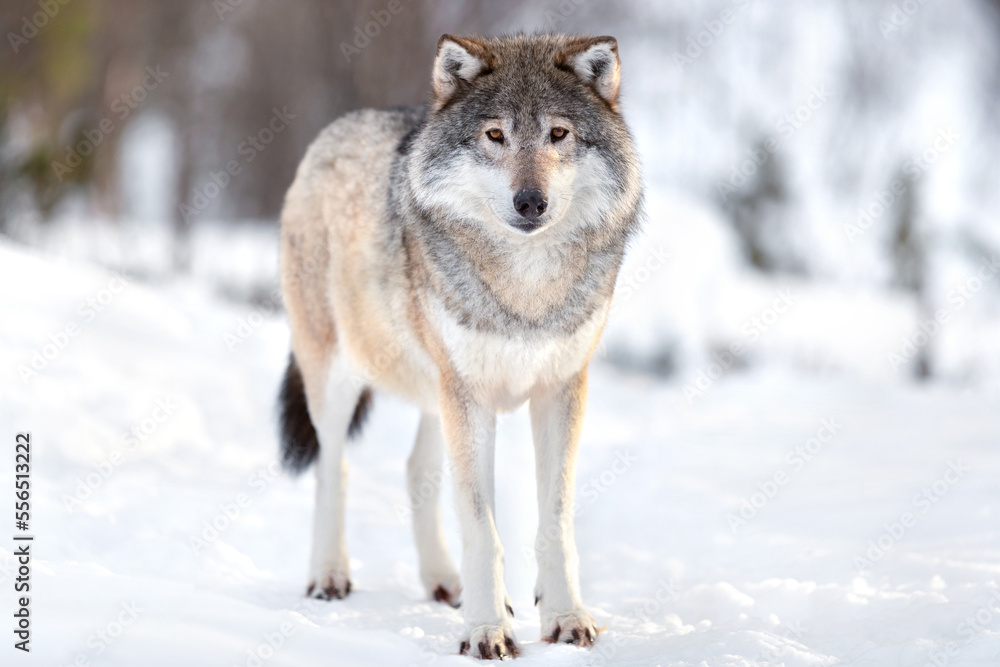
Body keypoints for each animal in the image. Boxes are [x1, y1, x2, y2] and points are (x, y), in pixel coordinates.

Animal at [278, 34, 644, 660]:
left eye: (558, 133)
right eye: (495, 136)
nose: (530, 202)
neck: (526, 290)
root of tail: (333, 131)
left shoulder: (560, 389)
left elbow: (556, 521)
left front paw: (565, 618)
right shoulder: (469, 396)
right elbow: (481, 527)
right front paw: (487, 630)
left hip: (434, 393)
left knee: (416, 471)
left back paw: (443, 583)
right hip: (340, 380)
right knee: (335, 468)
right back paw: (329, 575)